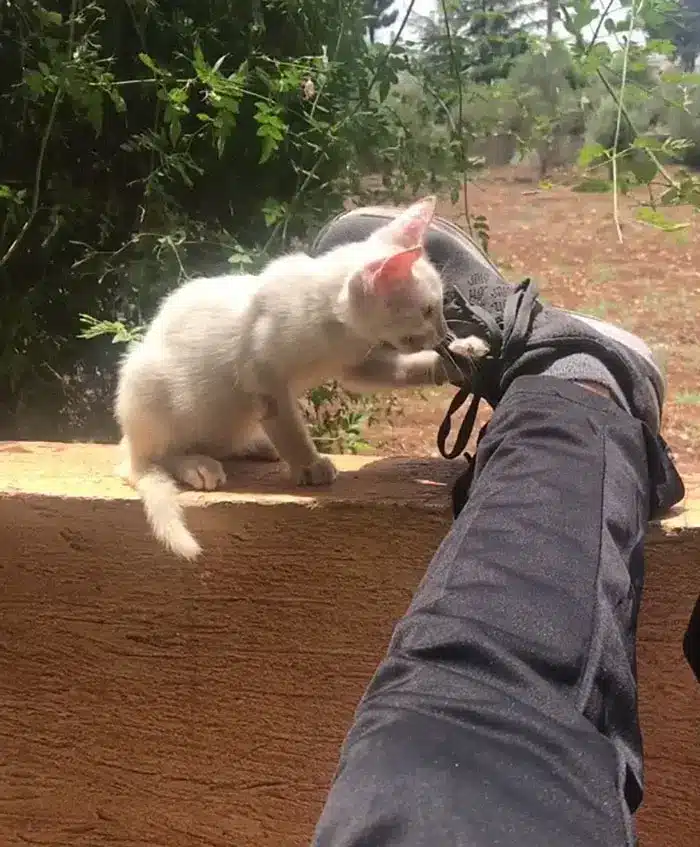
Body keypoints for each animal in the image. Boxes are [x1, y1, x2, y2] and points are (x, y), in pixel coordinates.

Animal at [115, 195, 486, 560]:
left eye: (441, 307)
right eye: (428, 310)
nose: (444, 331)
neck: (336, 328)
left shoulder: (356, 365)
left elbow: (403, 368)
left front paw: (459, 356)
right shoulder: (265, 377)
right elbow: (289, 427)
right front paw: (309, 466)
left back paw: (255, 446)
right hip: (152, 386)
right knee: (146, 462)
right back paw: (195, 465)